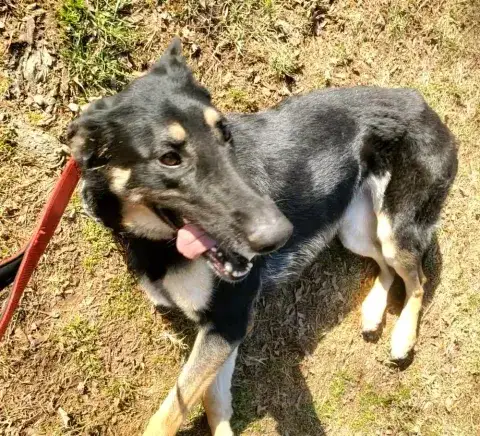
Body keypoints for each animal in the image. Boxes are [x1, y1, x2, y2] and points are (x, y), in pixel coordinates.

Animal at [68, 38, 457, 435]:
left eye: (225, 134)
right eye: (169, 158)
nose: (279, 234)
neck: (156, 243)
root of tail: (421, 103)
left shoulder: (230, 317)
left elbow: (170, 413)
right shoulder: (225, 325)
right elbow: (212, 398)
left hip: (393, 227)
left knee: (418, 278)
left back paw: (403, 336)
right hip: (354, 229)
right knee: (386, 266)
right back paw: (374, 311)